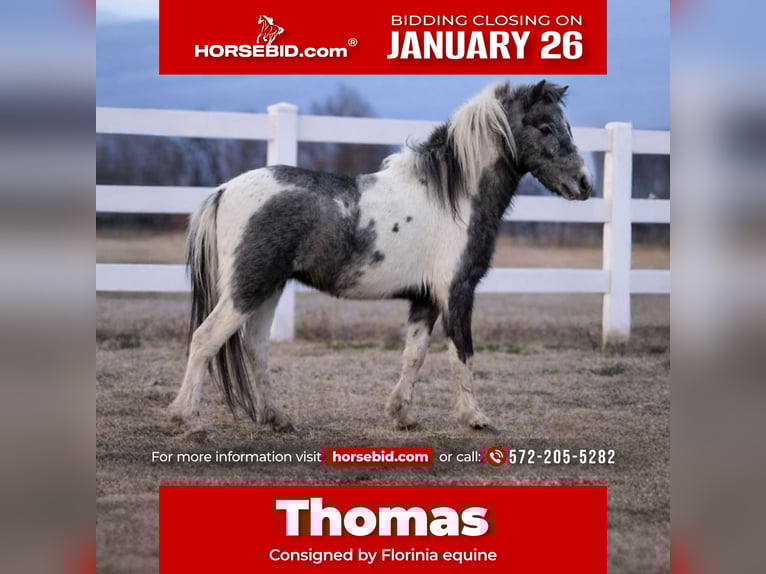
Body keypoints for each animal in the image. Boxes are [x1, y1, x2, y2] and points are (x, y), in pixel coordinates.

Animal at [168, 80, 593, 433]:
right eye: (545, 127)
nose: (585, 183)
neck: (450, 198)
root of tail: (223, 190)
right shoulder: (457, 292)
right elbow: (462, 353)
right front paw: (475, 418)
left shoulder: (425, 299)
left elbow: (415, 355)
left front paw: (402, 415)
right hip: (248, 288)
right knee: (205, 339)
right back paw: (187, 419)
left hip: (267, 289)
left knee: (255, 346)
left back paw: (278, 419)